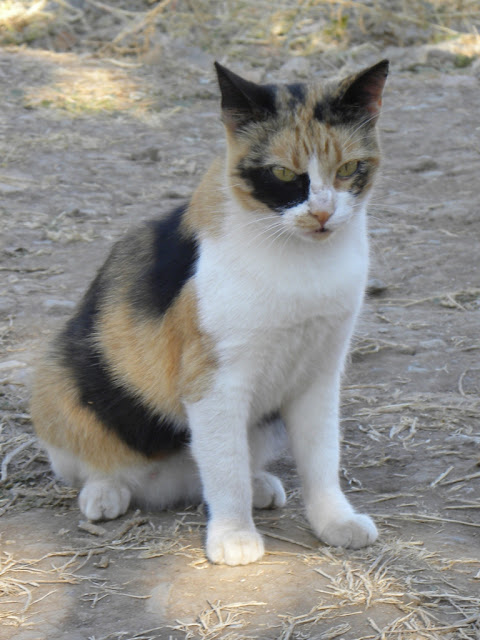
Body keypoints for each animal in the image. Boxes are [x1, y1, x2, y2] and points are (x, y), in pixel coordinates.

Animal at [30, 58, 388, 564]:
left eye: (349, 168)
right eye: (283, 173)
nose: (321, 213)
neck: (303, 263)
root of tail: (169, 486)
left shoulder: (320, 373)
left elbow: (321, 458)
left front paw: (335, 522)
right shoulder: (215, 383)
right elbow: (226, 468)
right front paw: (234, 536)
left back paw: (259, 485)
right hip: (53, 372)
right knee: (98, 464)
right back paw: (106, 493)